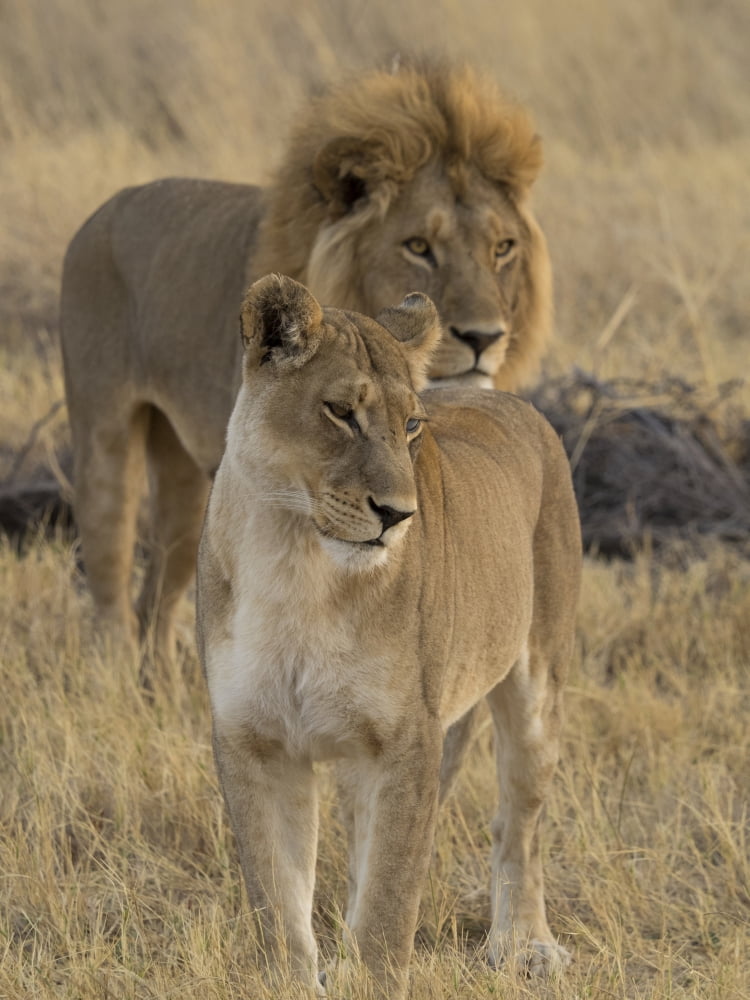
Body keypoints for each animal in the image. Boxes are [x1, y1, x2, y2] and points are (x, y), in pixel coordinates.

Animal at [59, 57, 553, 668]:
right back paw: (114, 672)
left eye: (503, 249)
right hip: (105, 437)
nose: (485, 336)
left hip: (185, 474)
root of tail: (103, 210)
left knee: (159, 596)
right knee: (110, 576)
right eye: (418, 247)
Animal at [196, 274, 581, 998]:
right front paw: (298, 978)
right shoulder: (254, 740)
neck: (297, 560)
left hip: (537, 684)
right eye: (341, 412)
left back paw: (525, 945)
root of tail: (513, 401)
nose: (398, 515)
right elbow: (278, 899)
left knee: (519, 821)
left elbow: (388, 903)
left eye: (411, 425)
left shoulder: (407, 739)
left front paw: (366, 974)